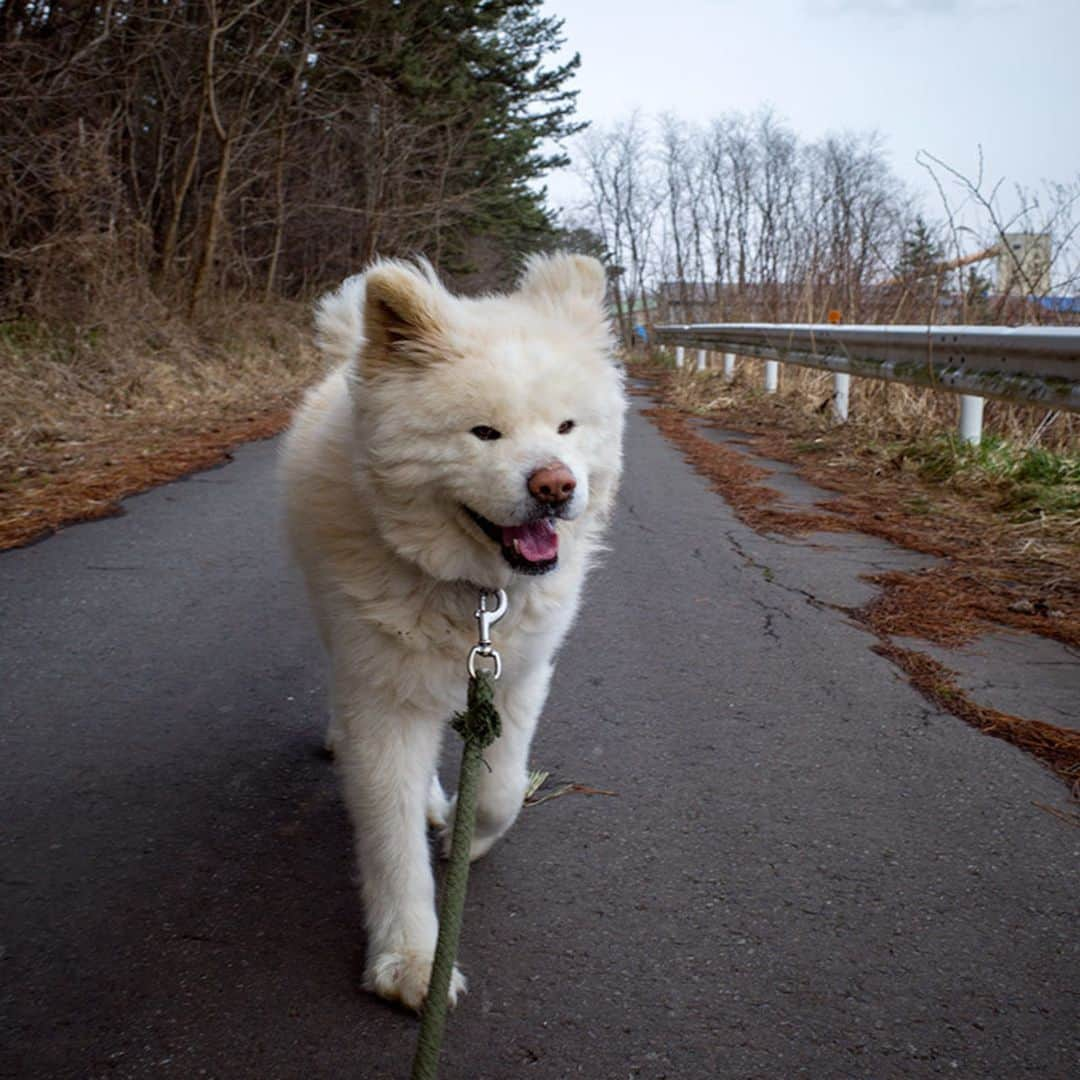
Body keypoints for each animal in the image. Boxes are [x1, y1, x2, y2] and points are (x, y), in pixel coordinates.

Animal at [280, 254, 626, 1010]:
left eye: (566, 427)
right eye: (484, 433)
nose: (556, 485)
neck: (472, 593)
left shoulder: (517, 677)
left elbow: (503, 789)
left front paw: (469, 842)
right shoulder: (384, 700)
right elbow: (391, 842)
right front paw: (411, 961)